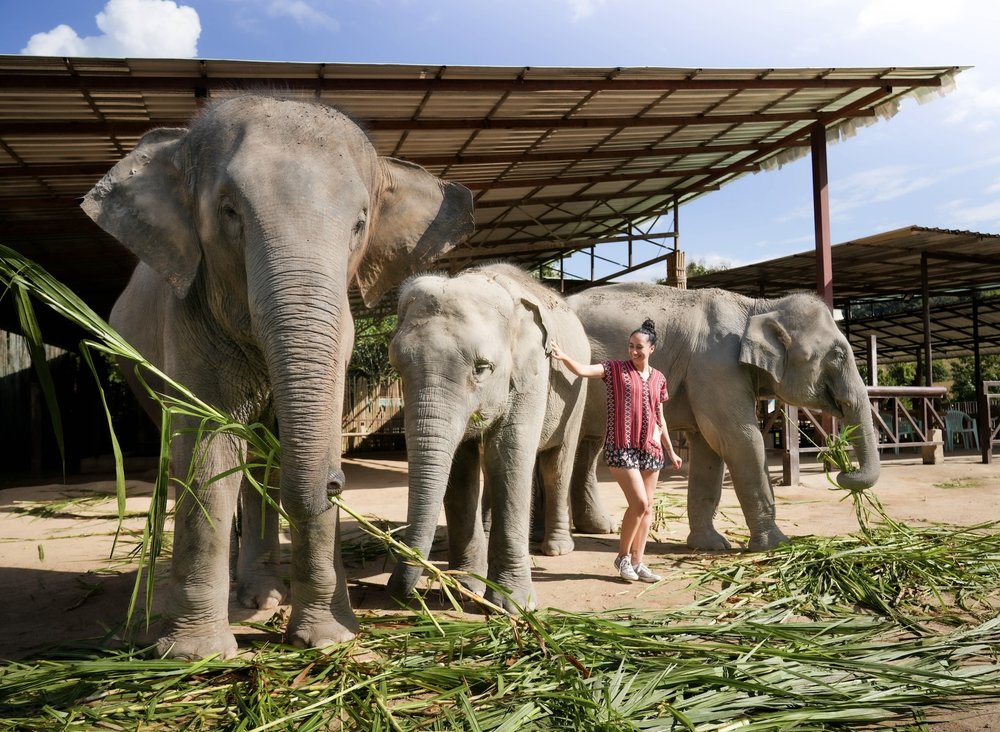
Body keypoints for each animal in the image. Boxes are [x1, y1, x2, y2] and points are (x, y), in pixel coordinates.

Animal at [82, 94, 474, 659]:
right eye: (229, 212)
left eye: (360, 223)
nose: (336, 482)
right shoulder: (187, 317)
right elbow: (208, 453)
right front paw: (194, 655)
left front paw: (327, 641)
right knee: (185, 457)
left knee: (263, 465)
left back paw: (262, 596)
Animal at [386, 264, 590, 612]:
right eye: (397, 366)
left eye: (482, 368)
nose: (396, 591)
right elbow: (462, 468)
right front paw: (466, 587)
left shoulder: (533, 374)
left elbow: (509, 455)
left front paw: (514, 605)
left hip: (578, 392)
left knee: (556, 464)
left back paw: (556, 548)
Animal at [568, 284, 880, 552]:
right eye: (837, 354)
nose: (842, 472)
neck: (758, 307)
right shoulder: (716, 366)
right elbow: (740, 440)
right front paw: (777, 545)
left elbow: (709, 449)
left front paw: (710, 545)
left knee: (588, 443)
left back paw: (598, 528)